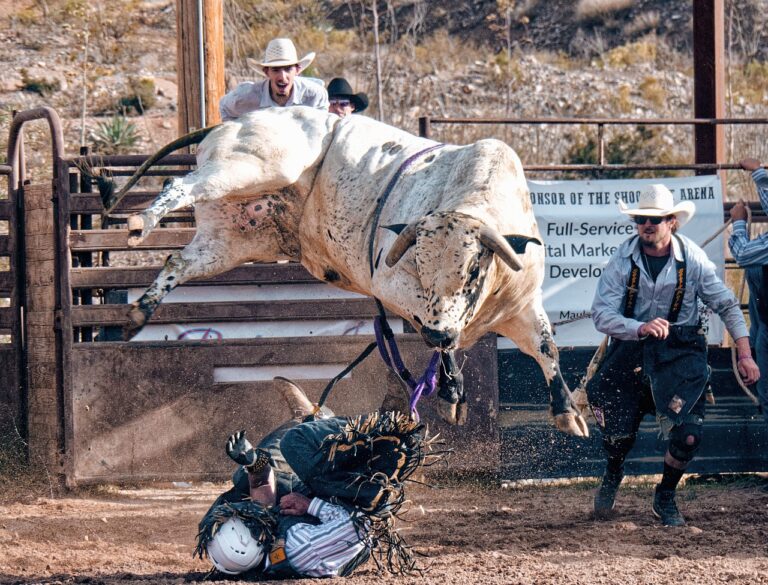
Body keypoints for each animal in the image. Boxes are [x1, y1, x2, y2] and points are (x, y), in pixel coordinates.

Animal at [96, 105, 588, 436]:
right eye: (420, 264)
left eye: (472, 271)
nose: (442, 330)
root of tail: (232, 121)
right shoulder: (392, 283)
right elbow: (440, 338)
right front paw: (452, 393)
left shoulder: (521, 307)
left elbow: (546, 348)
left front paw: (567, 411)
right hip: (249, 167)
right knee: (179, 183)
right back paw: (140, 223)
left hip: (235, 236)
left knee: (179, 261)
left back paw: (139, 311)